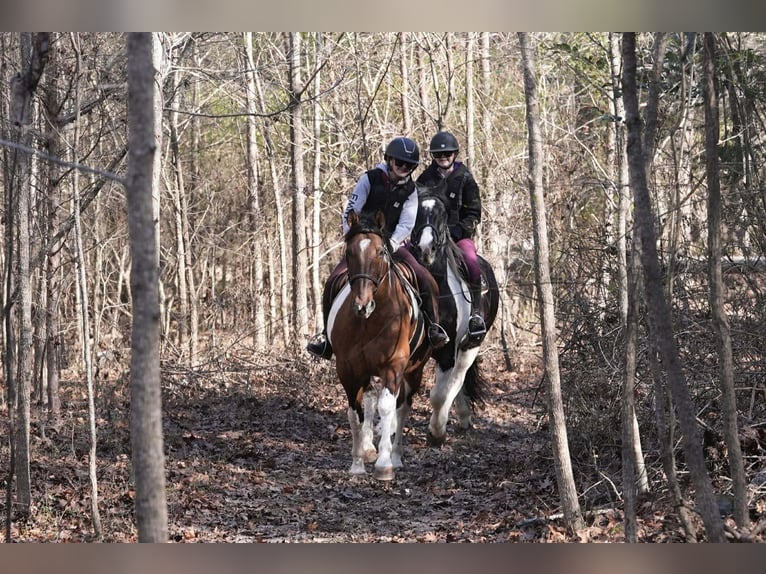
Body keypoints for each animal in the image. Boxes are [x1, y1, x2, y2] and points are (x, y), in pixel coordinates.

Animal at [326, 210, 433, 480]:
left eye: (381, 252)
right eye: (349, 252)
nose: (362, 305)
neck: (369, 321)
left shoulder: (393, 366)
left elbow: (387, 408)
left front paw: (384, 464)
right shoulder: (348, 369)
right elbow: (354, 412)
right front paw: (357, 462)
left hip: (414, 370)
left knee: (401, 407)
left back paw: (395, 456)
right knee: (371, 398)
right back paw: (368, 447)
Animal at [410, 187, 500, 447]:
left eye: (443, 214)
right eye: (415, 211)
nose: (425, 250)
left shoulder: (449, 351)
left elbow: (439, 395)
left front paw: (436, 433)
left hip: (471, 345)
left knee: (458, 378)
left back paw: (461, 417)